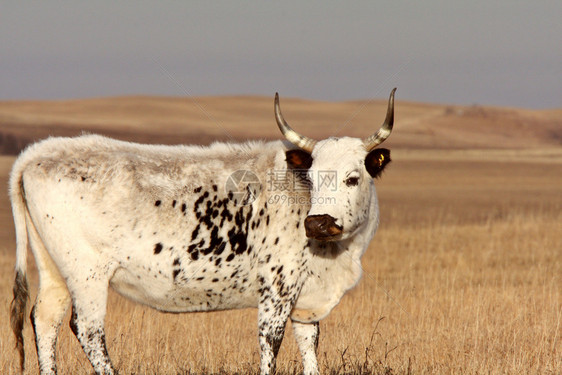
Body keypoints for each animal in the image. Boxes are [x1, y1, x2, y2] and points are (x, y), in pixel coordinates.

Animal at [8, 89, 394, 374]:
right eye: (311, 179)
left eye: (352, 178)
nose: (316, 223)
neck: (337, 259)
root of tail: (40, 151)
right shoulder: (276, 288)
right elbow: (270, 344)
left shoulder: (306, 298)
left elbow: (309, 346)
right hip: (86, 273)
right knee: (88, 330)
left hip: (54, 269)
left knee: (45, 319)